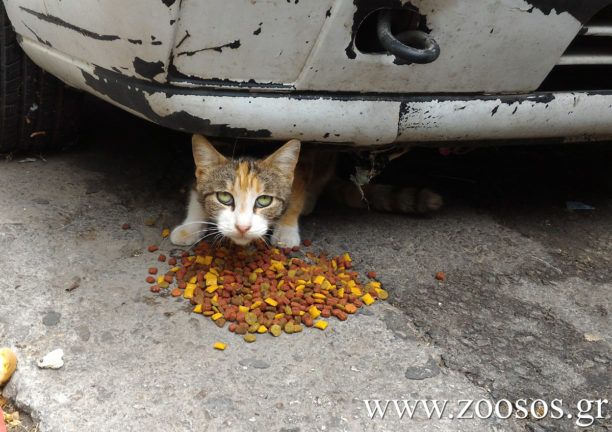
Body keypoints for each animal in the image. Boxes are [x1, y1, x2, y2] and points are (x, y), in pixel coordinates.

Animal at [170, 135, 442, 248]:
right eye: (224, 197)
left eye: (264, 200)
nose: (243, 227)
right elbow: (196, 189)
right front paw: (190, 226)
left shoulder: (304, 162)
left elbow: (297, 193)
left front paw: (287, 230)